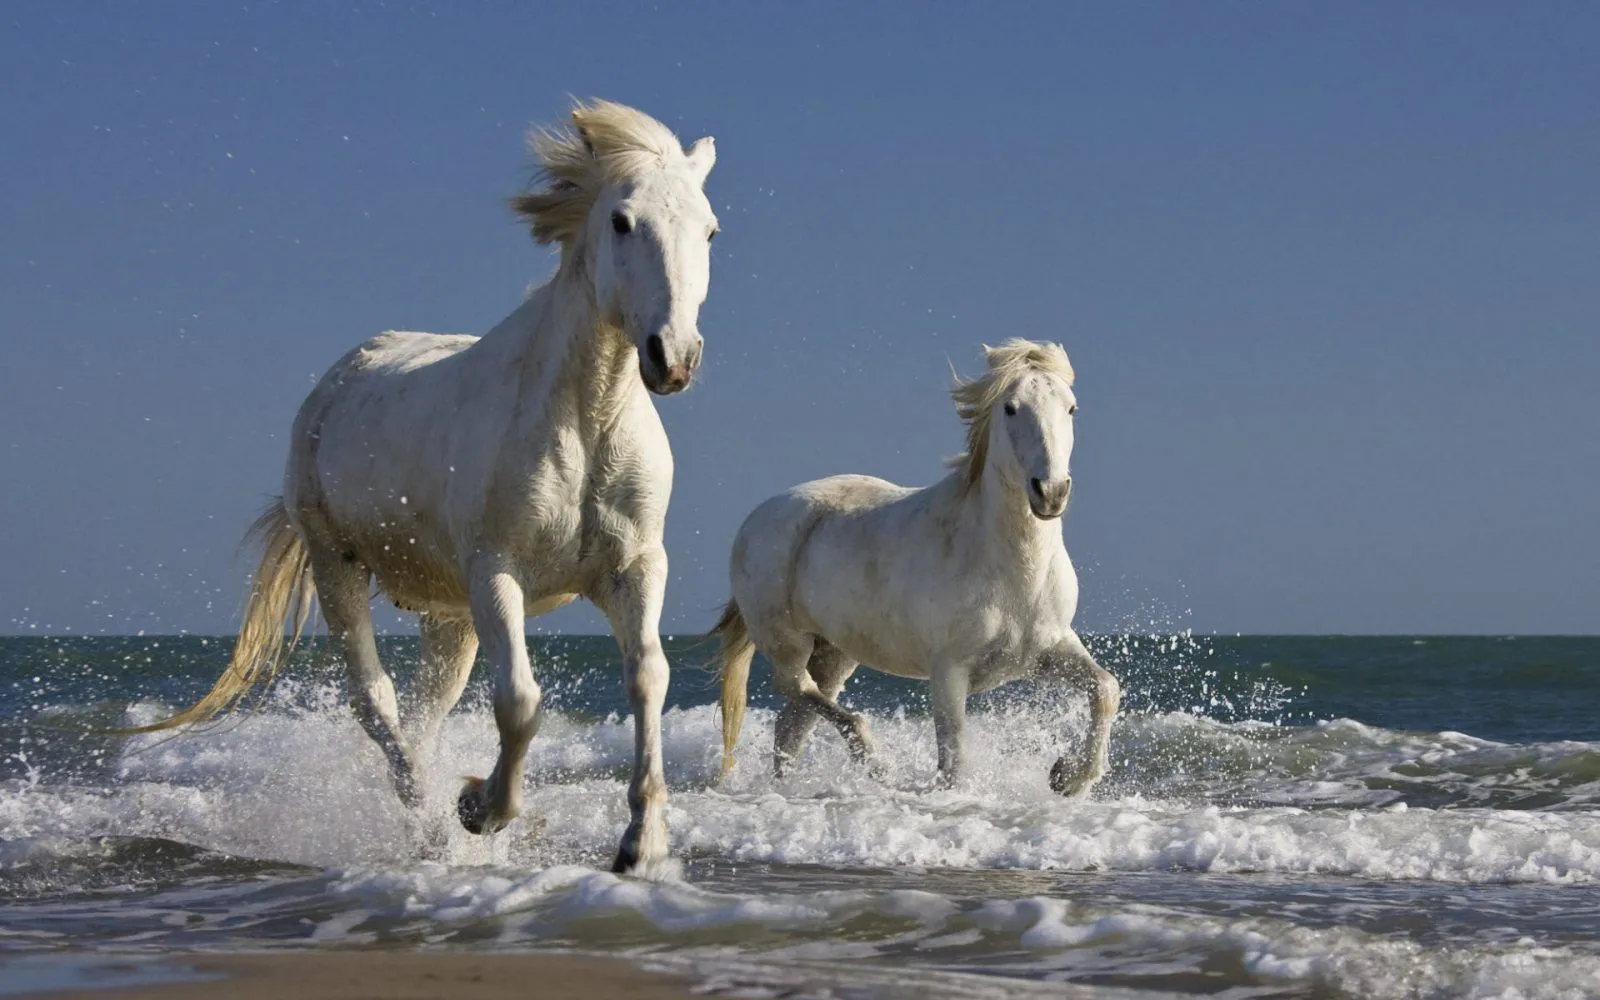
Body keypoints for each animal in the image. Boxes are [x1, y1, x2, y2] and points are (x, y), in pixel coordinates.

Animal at [131, 97, 720, 870]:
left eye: (709, 229)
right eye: (622, 221)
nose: (672, 357)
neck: (585, 418)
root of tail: (338, 378)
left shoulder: (637, 567)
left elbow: (648, 676)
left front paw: (640, 843)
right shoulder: (496, 572)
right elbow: (520, 701)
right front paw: (480, 809)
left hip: (449, 616)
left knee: (422, 714)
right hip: (340, 568)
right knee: (376, 703)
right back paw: (432, 826)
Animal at [720, 340, 1120, 796]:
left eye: (1071, 408)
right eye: (1011, 408)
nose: (1050, 493)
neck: (1011, 570)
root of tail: (756, 517)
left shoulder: (1049, 650)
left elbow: (1106, 688)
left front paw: (1068, 777)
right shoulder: (949, 672)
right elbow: (954, 759)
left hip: (834, 653)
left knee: (791, 723)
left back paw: (789, 786)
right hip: (788, 641)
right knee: (795, 689)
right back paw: (873, 761)